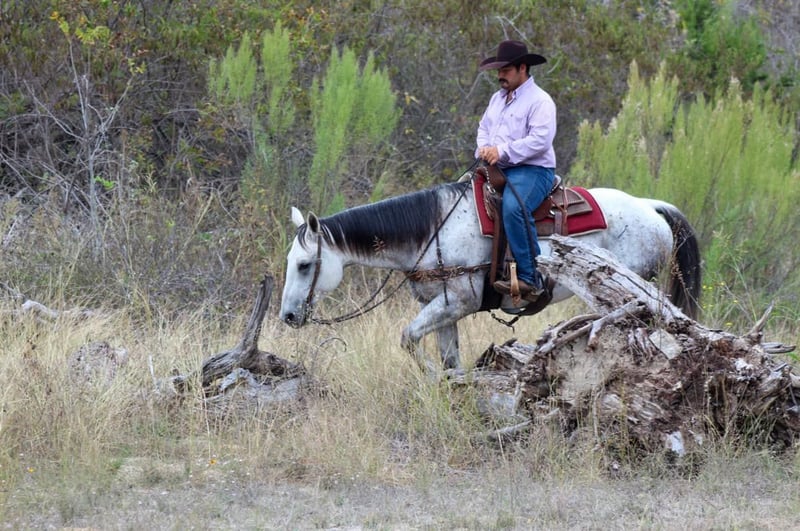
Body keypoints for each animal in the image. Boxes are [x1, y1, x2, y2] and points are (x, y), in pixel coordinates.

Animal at [279, 179, 701, 371]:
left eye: (305, 264)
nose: (288, 316)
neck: (432, 229)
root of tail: (649, 206)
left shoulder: (459, 301)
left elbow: (408, 338)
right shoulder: (443, 306)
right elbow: (448, 357)